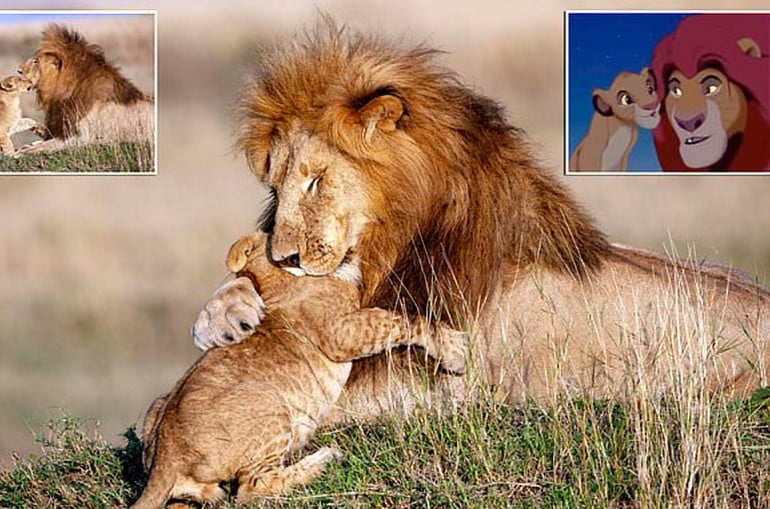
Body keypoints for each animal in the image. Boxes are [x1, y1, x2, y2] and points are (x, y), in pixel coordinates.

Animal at [16, 24, 153, 151]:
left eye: (36, 61)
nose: (18, 71)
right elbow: (38, 143)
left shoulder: (82, 138)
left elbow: (41, 147)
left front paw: (18, 153)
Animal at [189, 23, 764, 418]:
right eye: (274, 188)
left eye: (314, 181)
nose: (285, 256)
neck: (398, 241)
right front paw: (223, 315)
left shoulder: (445, 385)